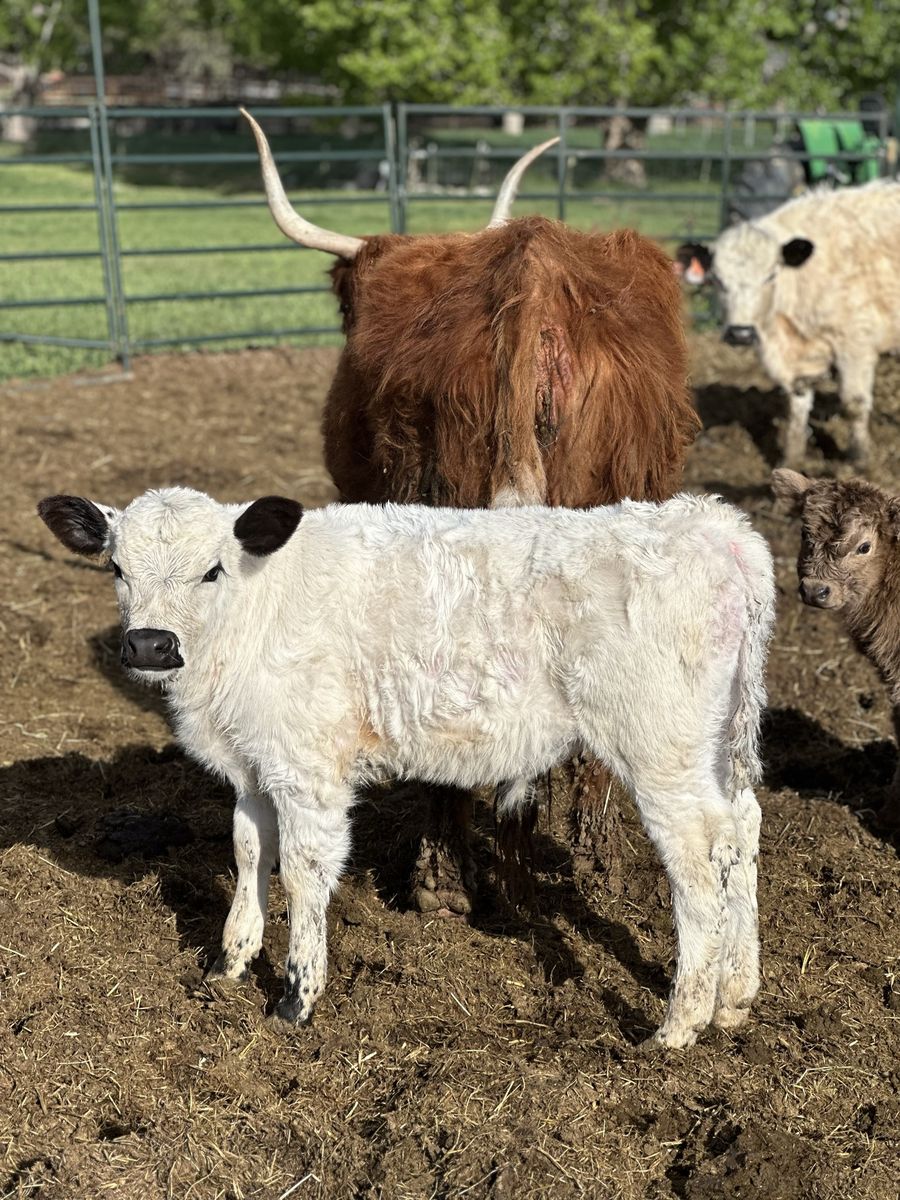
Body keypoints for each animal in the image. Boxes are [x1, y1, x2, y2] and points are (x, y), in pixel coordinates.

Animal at [38, 486, 775, 1048]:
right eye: (115, 568)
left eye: (212, 570)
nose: (150, 644)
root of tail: (709, 525)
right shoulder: (255, 767)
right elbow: (248, 852)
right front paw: (229, 964)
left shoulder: (309, 770)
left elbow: (303, 874)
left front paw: (295, 1001)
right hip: (716, 745)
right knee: (742, 830)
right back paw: (735, 997)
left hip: (659, 747)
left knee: (698, 859)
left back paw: (679, 1025)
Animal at [682, 181, 900, 467]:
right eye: (717, 279)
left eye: (770, 276)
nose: (741, 333)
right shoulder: (800, 362)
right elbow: (797, 407)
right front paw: (792, 458)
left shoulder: (856, 345)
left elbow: (854, 404)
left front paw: (860, 460)